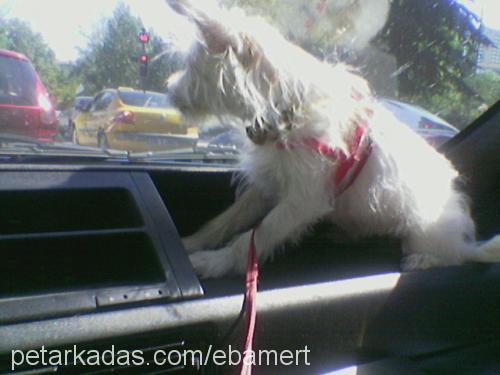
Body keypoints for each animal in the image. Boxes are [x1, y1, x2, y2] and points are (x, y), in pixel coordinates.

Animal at [166, 0, 498, 278]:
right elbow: (226, 220)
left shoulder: (304, 199)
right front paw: (192, 242)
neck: (289, 112)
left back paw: (426, 259)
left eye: (192, 66)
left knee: (456, 256)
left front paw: (216, 262)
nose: (169, 89)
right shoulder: (268, 182)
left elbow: (256, 236)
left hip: (425, 228)